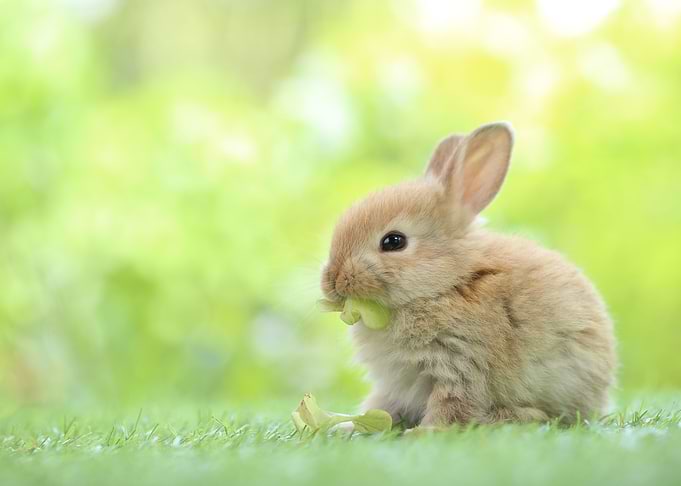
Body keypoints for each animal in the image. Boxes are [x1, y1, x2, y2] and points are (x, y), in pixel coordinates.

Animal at [320, 122, 616, 428]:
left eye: (394, 241)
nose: (332, 281)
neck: (447, 283)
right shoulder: (396, 385)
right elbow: (382, 407)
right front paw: (346, 426)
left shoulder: (458, 365)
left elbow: (451, 405)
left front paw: (423, 432)